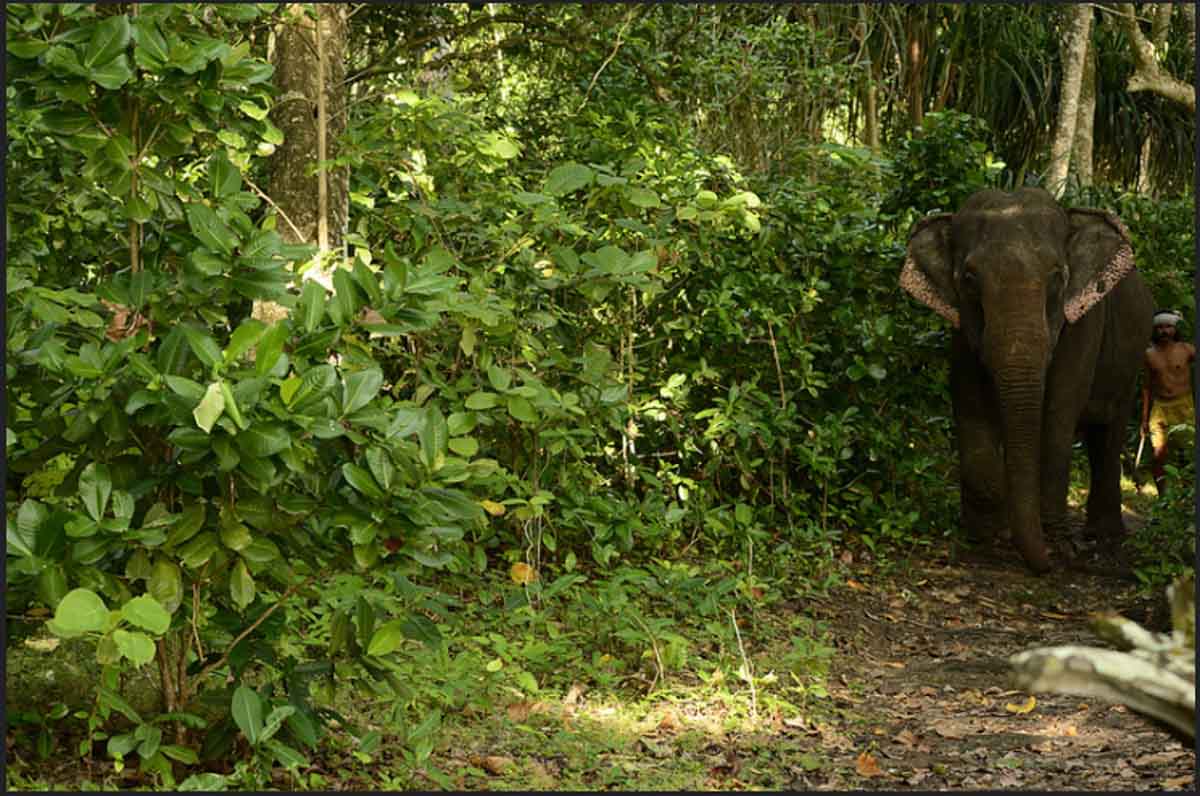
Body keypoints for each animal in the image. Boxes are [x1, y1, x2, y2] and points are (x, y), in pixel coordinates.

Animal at [902, 187, 1152, 573]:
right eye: (969, 279)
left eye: (1057, 277)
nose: (1050, 564)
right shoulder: (961, 327)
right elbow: (969, 402)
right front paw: (985, 535)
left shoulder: (1082, 323)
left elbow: (1059, 414)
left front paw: (1057, 543)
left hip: (1131, 361)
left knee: (1107, 434)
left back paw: (1104, 537)